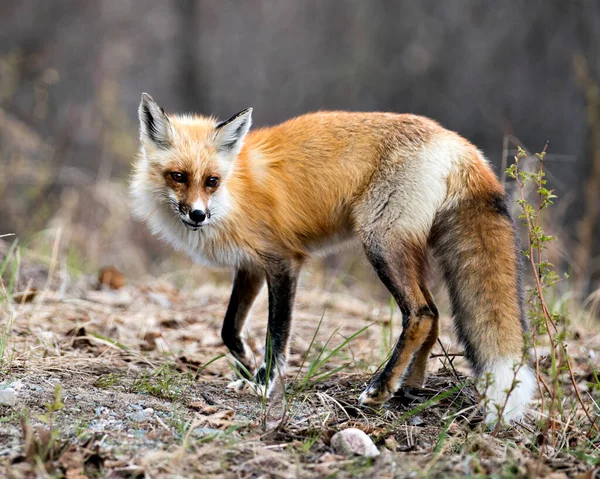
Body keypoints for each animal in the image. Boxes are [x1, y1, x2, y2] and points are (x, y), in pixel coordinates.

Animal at [130, 94, 536, 424]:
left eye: (211, 181)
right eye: (178, 176)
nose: (198, 215)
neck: (235, 193)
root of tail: (457, 142)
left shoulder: (283, 261)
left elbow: (277, 334)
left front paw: (263, 382)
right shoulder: (250, 266)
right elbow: (229, 328)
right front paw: (245, 366)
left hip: (381, 244)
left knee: (420, 314)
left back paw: (381, 387)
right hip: (403, 248)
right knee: (435, 314)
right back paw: (408, 384)